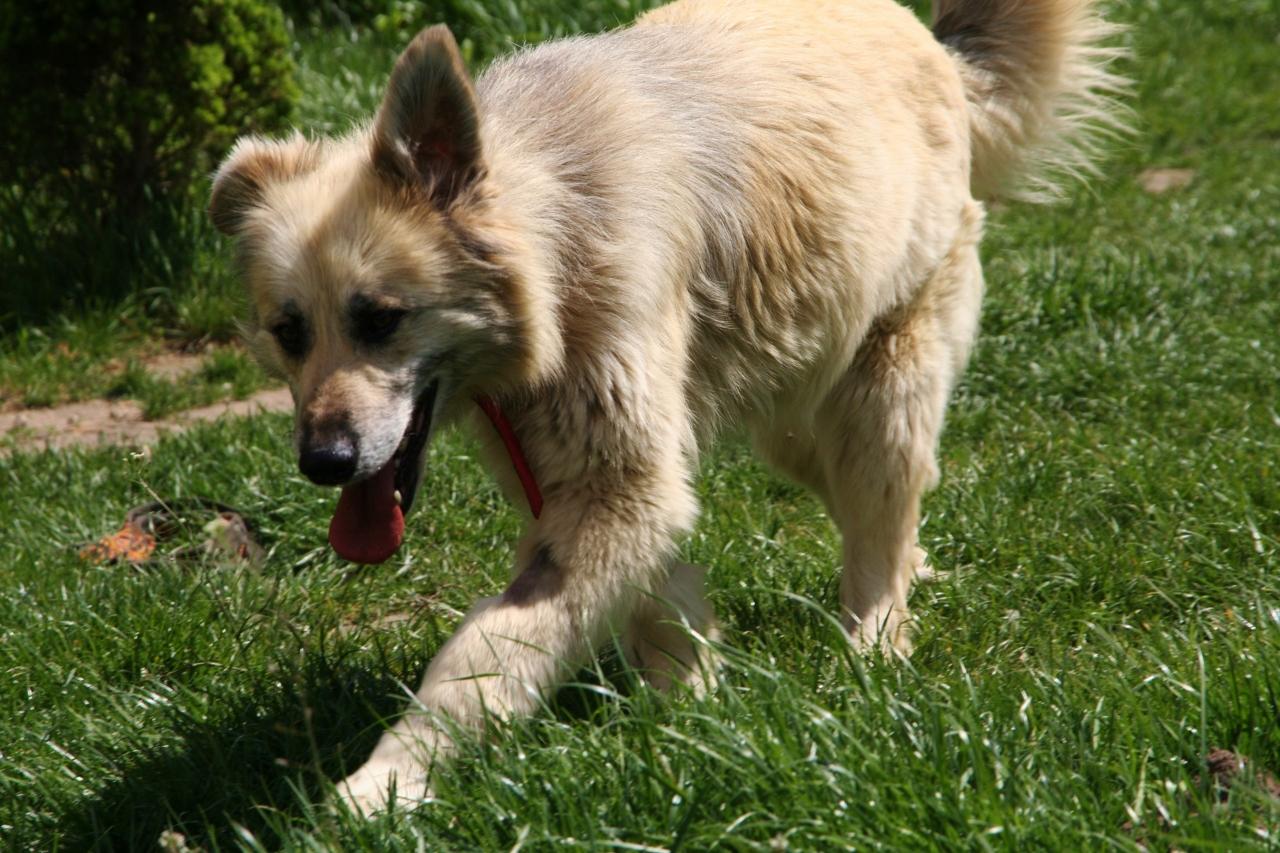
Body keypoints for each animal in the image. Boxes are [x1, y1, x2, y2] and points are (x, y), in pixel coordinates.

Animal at [209, 0, 1125, 813]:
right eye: (289, 332)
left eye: (380, 319)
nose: (322, 463)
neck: (556, 241)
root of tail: (929, 44)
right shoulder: (595, 482)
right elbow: (658, 595)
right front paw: (694, 709)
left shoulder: (616, 485)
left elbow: (482, 654)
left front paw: (388, 782)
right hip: (797, 410)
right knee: (882, 500)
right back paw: (914, 568)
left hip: (878, 387)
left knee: (878, 527)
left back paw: (873, 649)